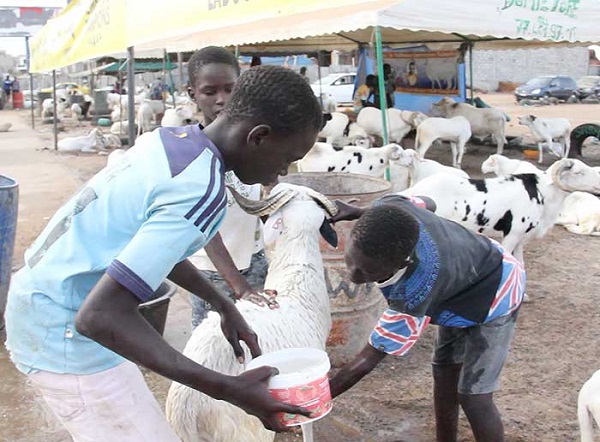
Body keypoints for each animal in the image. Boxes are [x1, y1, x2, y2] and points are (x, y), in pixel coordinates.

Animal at [398, 158, 600, 266]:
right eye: (578, 173)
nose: (598, 184)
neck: (542, 192)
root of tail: (414, 190)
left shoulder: (521, 238)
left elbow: (521, 263)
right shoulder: (512, 233)